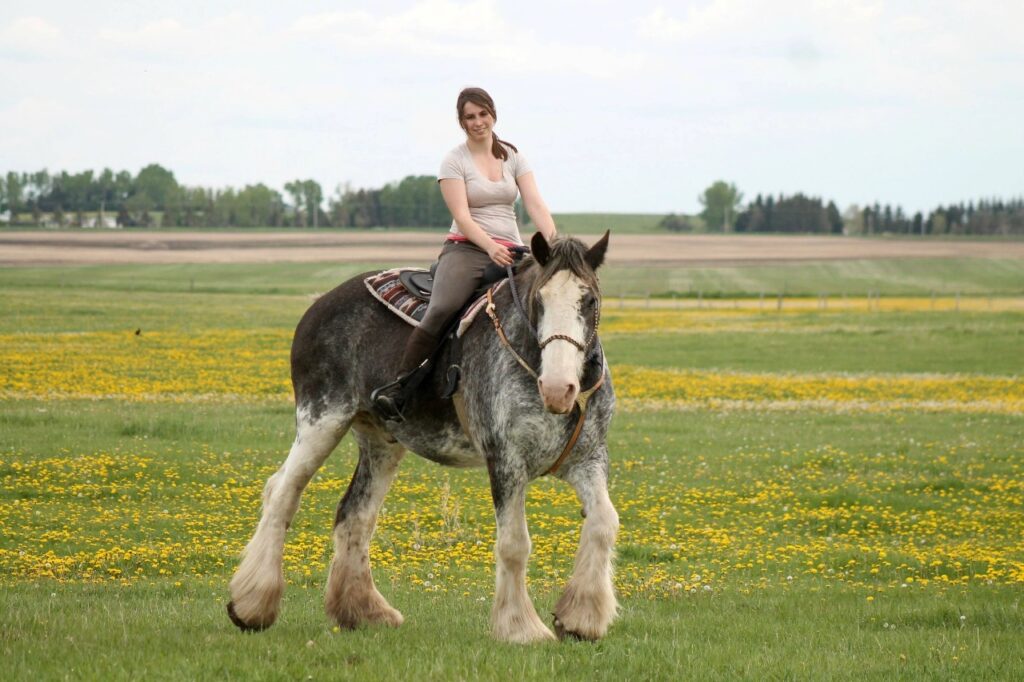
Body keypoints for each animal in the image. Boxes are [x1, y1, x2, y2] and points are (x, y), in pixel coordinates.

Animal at [227, 231, 618, 643]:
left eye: (590, 300)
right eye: (539, 301)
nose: (558, 388)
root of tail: (320, 304)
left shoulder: (587, 460)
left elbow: (604, 523)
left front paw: (580, 618)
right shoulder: (506, 461)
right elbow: (515, 543)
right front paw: (521, 628)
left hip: (380, 441)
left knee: (356, 515)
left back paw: (365, 611)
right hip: (322, 421)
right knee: (283, 492)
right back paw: (251, 606)